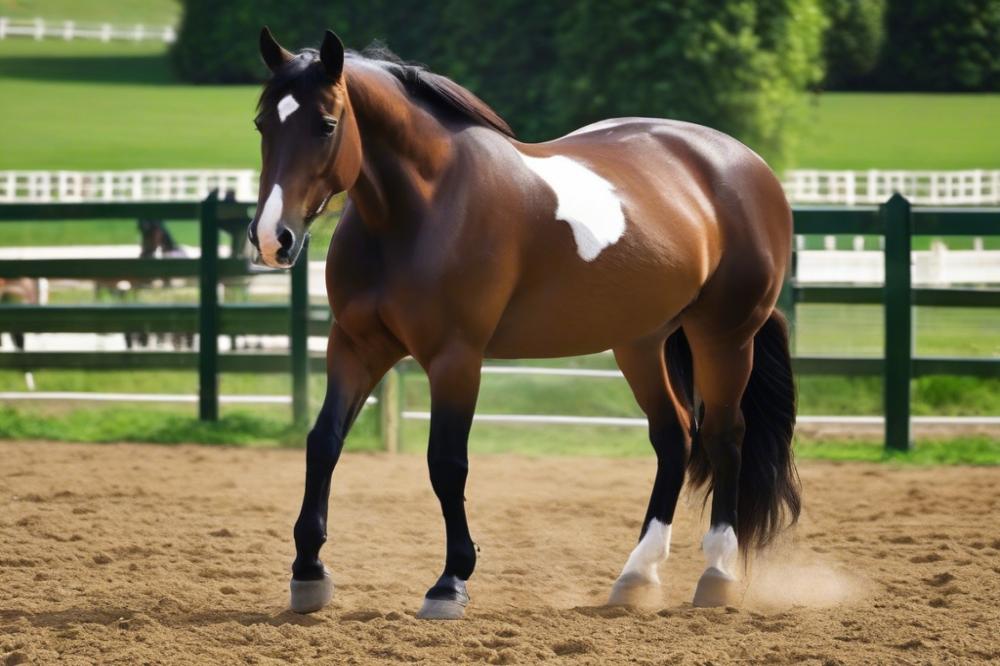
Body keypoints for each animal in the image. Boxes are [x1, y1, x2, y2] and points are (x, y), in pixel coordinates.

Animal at [247, 28, 801, 619]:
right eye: (262, 124)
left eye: (327, 124)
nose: (272, 238)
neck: (420, 208)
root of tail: (744, 163)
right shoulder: (355, 346)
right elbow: (323, 443)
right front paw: (308, 573)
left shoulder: (456, 357)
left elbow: (447, 463)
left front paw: (450, 582)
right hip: (641, 342)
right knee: (674, 436)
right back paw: (636, 577)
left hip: (723, 336)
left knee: (724, 435)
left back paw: (717, 574)